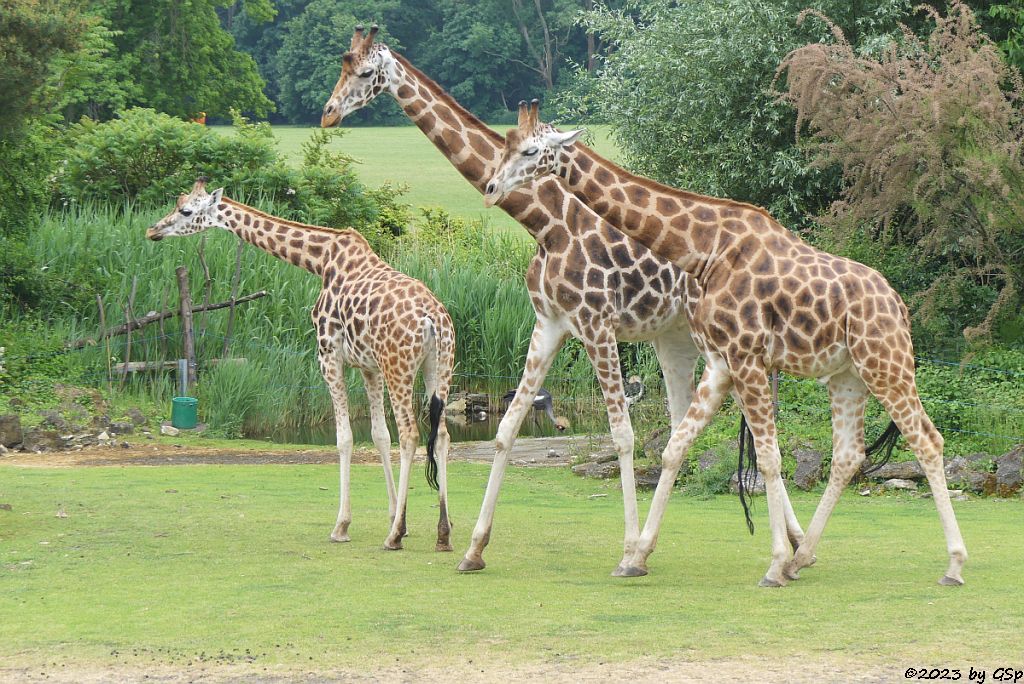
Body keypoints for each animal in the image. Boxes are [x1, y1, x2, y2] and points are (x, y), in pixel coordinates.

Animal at [147, 179, 456, 552]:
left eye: (186, 210)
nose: (153, 230)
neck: (320, 261)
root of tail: (433, 321)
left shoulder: (328, 354)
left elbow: (345, 438)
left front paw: (344, 525)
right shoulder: (368, 365)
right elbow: (379, 435)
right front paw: (397, 516)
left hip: (400, 367)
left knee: (410, 434)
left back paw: (394, 538)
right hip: (438, 368)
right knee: (442, 434)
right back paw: (443, 532)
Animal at [323, 24, 741, 573]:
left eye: (367, 71)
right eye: (342, 63)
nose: (328, 112)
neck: (545, 223)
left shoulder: (596, 324)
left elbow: (622, 435)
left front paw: (625, 548)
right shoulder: (550, 322)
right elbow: (505, 428)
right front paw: (474, 549)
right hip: (674, 340)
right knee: (680, 427)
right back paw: (661, 547)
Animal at [485, 102, 966, 589]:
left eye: (530, 150)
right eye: (505, 143)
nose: (490, 187)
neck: (704, 248)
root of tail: (899, 306)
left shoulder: (746, 357)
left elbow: (769, 458)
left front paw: (772, 565)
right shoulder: (720, 362)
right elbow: (676, 448)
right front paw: (636, 556)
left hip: (885, 364)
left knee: (928, 440)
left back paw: (952, 565)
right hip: (846, 375)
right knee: (848, 455)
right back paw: (802, 557)